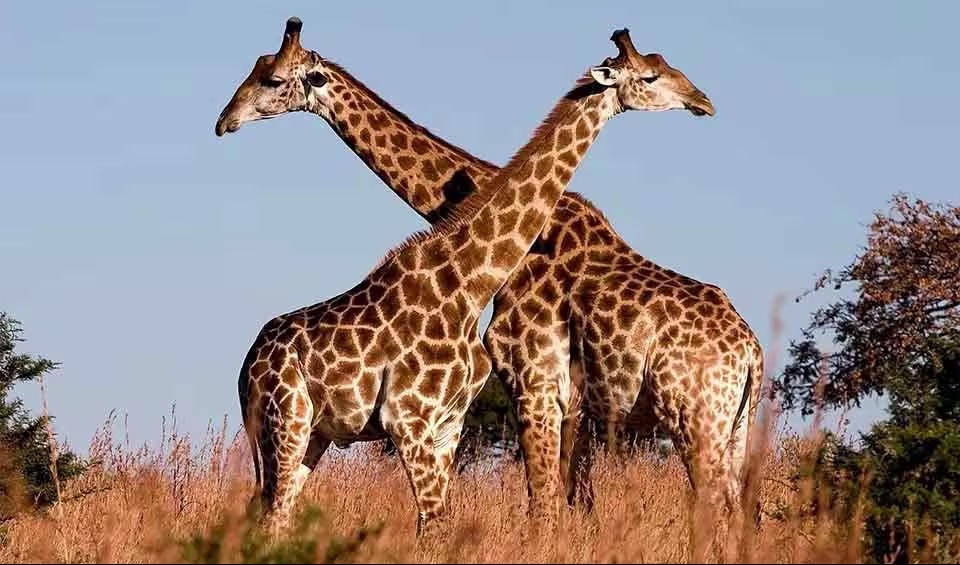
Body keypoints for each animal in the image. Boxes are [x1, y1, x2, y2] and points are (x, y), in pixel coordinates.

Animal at [215, 17, 739, 532]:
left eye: (271, 79)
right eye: (651, 74)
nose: (224, 121)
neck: (468, 275)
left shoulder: (490, 406)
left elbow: (535, 510)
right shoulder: (484, 406)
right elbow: (542, 509)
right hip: (290, 425)